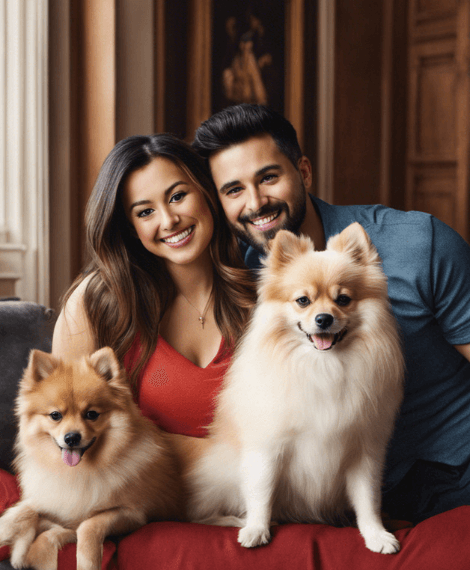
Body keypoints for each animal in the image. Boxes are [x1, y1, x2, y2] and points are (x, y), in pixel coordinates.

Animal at [0, 344, 184, 568]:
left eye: (92, 414)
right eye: (55, 415)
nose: (71, 437)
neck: (79, 472)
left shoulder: (135, 514)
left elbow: (89, 525)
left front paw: (86, 561)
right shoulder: (56, 504)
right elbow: (26, 509)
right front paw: (9, 530)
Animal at [189, 224, 406, 552]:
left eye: (343, 299)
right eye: (303, 300)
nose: (323, 318)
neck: (324, 366)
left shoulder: (364, 449)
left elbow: (368, 498)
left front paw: (375, 534)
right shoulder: (268, 446)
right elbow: (261, 492)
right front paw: (257, 528)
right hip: (222, 475)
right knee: (205, 511)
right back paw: (234, 520)